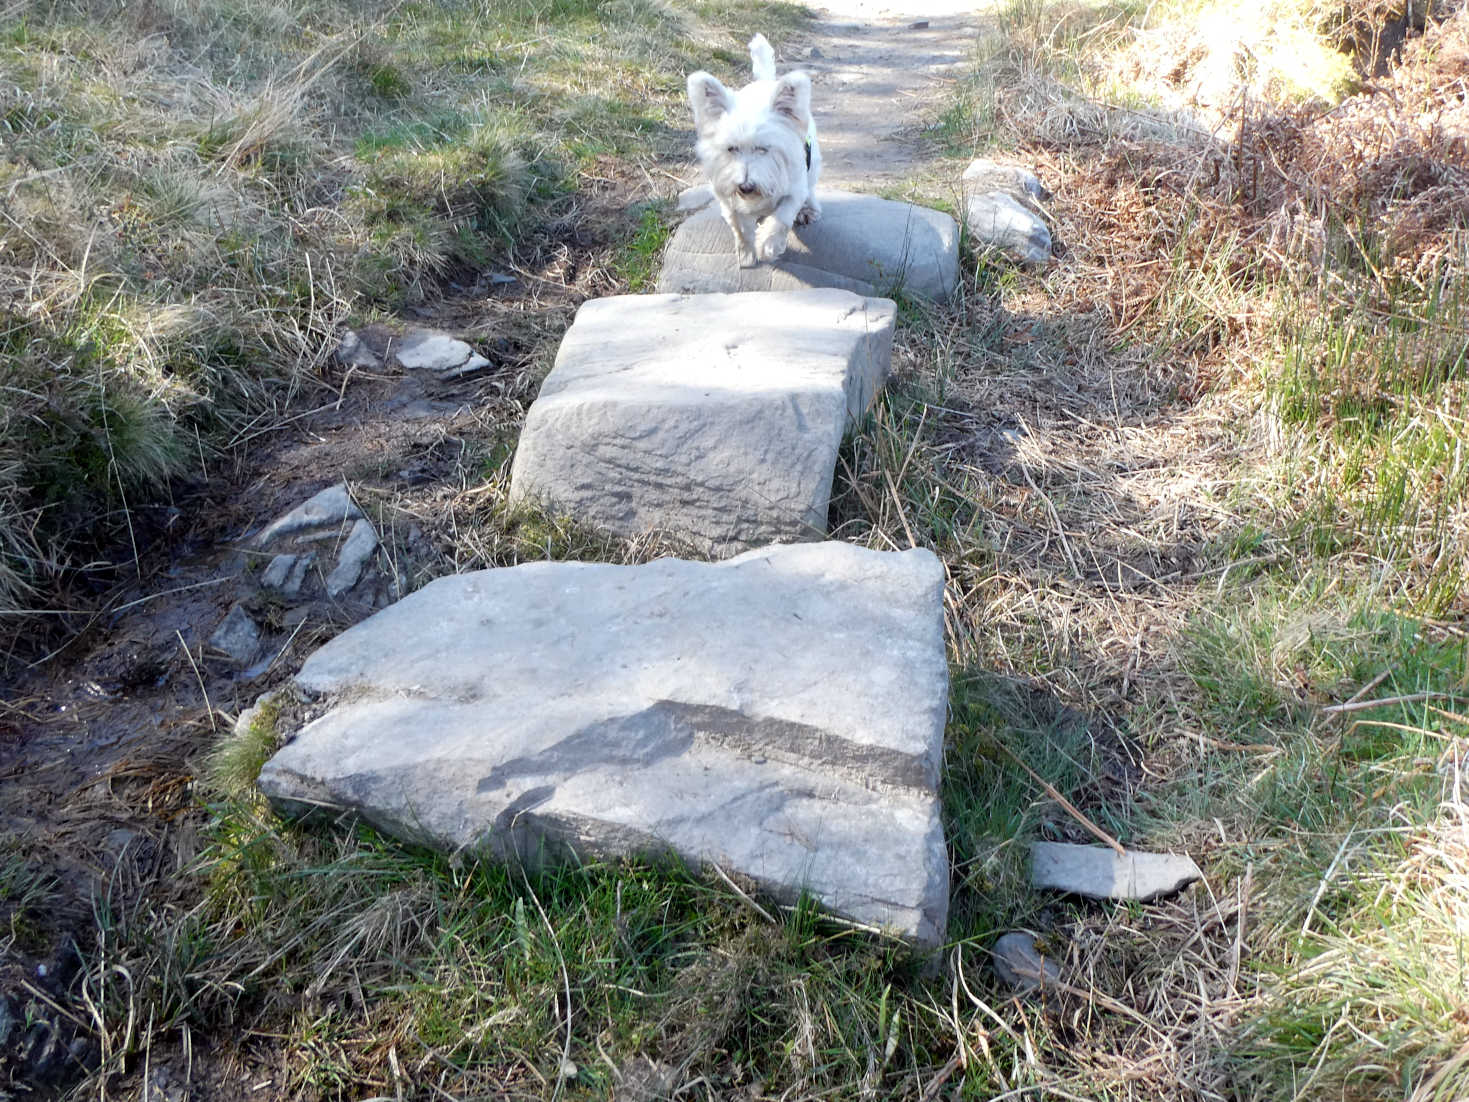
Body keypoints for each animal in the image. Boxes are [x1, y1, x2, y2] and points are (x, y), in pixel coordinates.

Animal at [684, 35, 822, 270]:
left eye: (763, 149)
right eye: (731, 148)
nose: (745, 186)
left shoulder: (794, 191)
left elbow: (781, 218)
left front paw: (767, 245)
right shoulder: (728, 198)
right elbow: (740, 227)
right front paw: (747, 253)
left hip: (811, 171)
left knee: (810, 191)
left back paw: (808, 209)